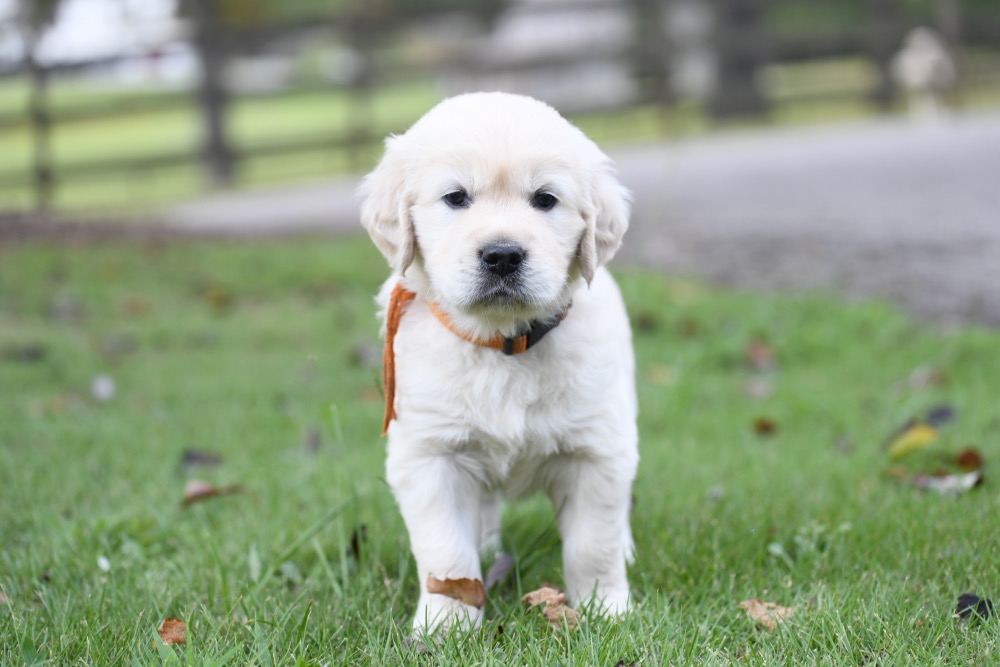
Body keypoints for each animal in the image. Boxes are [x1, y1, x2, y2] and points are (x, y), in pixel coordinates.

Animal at [364, 91, 636, 636]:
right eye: (455, 198)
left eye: (545, 200)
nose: (503, 255)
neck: (502, 342)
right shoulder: (430, 456)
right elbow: (447, 554)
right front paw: (445, 624)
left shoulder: (596, 451)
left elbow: (593, 543)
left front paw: (604, 609)